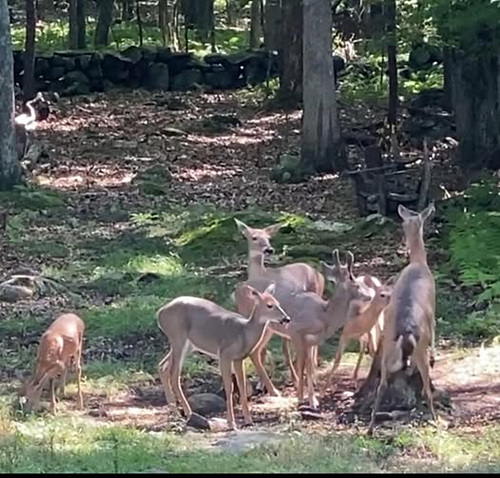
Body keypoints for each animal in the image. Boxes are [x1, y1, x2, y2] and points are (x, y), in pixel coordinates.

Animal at [156, 283, 290, 430]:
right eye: (269, 305)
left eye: (278, 303)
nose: (286, 319)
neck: (244, 333)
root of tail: (159, 313)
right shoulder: (225, 354)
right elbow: (229, 387)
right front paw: (231, 423)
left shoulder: (238, 358)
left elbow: (242, 386)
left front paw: (249, 420)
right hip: (178, 337)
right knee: (174, 374)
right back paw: (187, 412)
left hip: (186, 345)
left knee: (163, 367)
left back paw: (177, 413)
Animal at [234, 218, 325, 392]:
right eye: (254, 237)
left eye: (269, 238)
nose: (269, 249)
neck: (262, 274)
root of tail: (319, 274)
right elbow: (264, 350)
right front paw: (261, 384)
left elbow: (284, 349)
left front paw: (295, 380)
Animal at [235, 250, 374, 408]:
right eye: (356, 284)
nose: (370, 296)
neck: (324, 315)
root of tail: (237, 291)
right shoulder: (295, 330)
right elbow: (302, 365)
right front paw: (301, 397)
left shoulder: (310, 341)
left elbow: (309, 366)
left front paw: (312, 399)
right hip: (255, 323)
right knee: (251, 351)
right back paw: (271, 391)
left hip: (267, 328)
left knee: (255, 352)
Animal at [368, 203, 437, 435]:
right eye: (404, 222)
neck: (419, 262)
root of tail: (406, 334)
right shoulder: (434, 306)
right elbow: (436, 329)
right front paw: (436, 356)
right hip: (419, 348)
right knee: (425, 389)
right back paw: (436, 421)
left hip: (388, 347)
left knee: (381, 386)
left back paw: (370, 428)